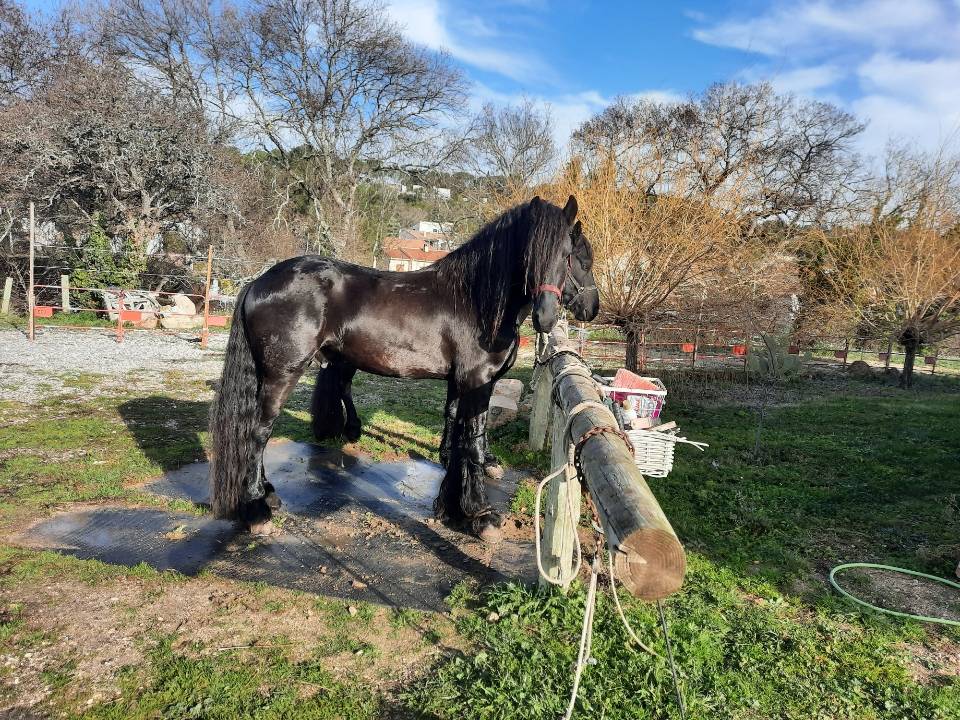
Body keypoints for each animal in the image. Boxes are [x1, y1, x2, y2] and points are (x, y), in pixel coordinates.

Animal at [208, 195, 599, 541]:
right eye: (577, 257)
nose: (550, 316)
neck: (475, 301)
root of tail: (257, 282)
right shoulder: (478, 381)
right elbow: (472, 444)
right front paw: (480, 515)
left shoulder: (460, 383)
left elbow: (457, 435)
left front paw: (448, 506)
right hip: (282, 374)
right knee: (258, 431)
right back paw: (256, 509)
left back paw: (270, 490)